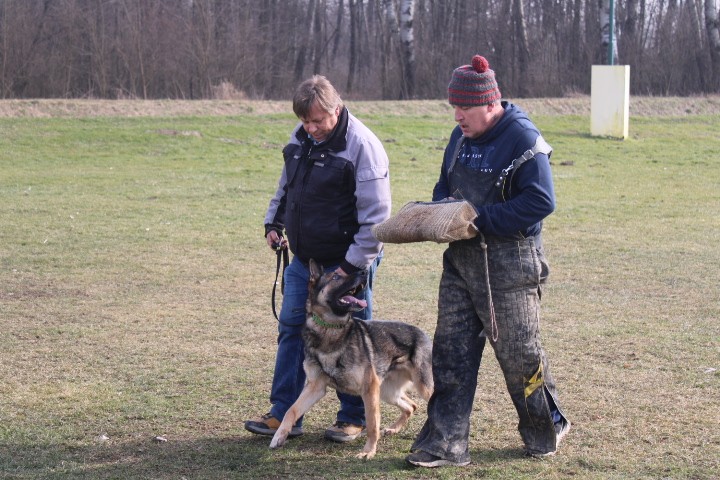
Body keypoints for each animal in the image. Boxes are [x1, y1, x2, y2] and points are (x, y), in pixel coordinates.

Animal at [270, 258, 434, 458]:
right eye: (336, 277)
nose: (363, 272)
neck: (330, 330)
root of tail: (423, 333)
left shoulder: (369, 390)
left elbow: (372, 424)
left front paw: (368, 451)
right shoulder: (315, 387)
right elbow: (291, 410)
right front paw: (279, 435)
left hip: (421, 387)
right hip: (387, 392)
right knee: (411, 406)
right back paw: (394, 429)